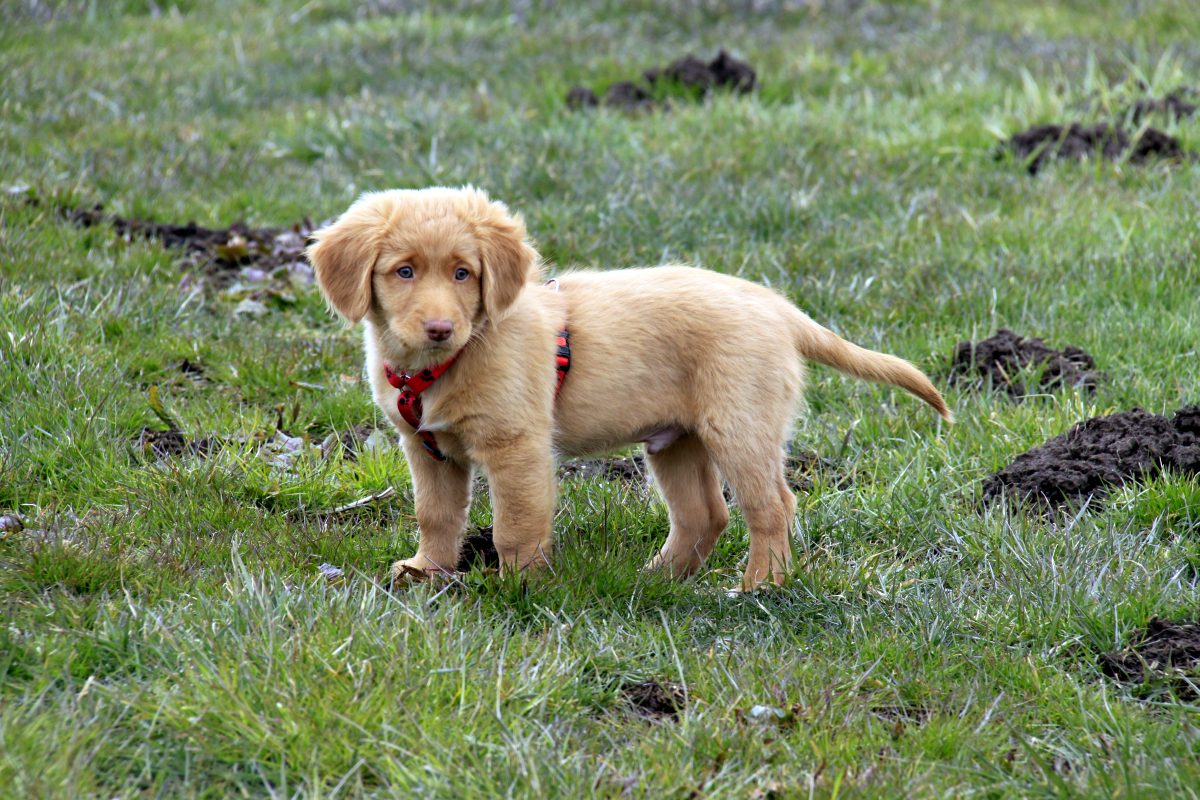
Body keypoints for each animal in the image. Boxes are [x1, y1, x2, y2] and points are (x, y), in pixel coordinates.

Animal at [307, 186, 952, 590]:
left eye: (463, 273)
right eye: (404, 271)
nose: (440, 327)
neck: (443, 363)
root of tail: (778, 307)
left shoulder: (517, 447)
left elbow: (516, 524)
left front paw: (515, 588)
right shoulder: (427, 449)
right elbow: (435, 516)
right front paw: (427, 572)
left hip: (740, 425)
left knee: (772, 507)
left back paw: (759, 585)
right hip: (677, 440)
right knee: (704, 515)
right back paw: (659, 579)